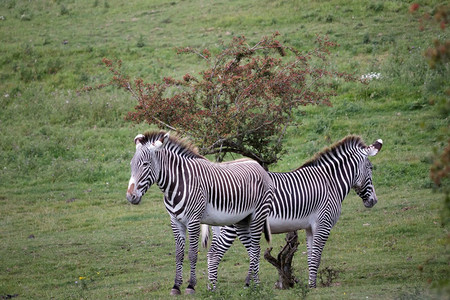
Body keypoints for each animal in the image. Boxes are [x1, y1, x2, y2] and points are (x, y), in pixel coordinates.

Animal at [126, 131, 274, 296]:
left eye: (145, 164)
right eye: (131, 165)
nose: (130, 196)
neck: (177, 184)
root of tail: (257, 164)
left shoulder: (193, 221)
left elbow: (192, 253)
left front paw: (191, 285)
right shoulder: (175, 221)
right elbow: (179, 254)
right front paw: (176, 286)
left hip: (257, 216)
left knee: (255, 248)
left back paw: (254, 285)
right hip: (242, 220)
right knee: (252, 249)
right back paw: (251, 284)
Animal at [204, 136, 384, 288]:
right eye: (371, 168)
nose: (373, 201)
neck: (330, 182)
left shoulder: (310, 227)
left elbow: (311, 256)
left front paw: (311, 285)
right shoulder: (323, 224)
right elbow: (317, 255)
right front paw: (313, 286)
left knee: (215, 253)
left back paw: (214, 287)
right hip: (230, 225)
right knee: (215, 254)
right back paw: (216, 290)